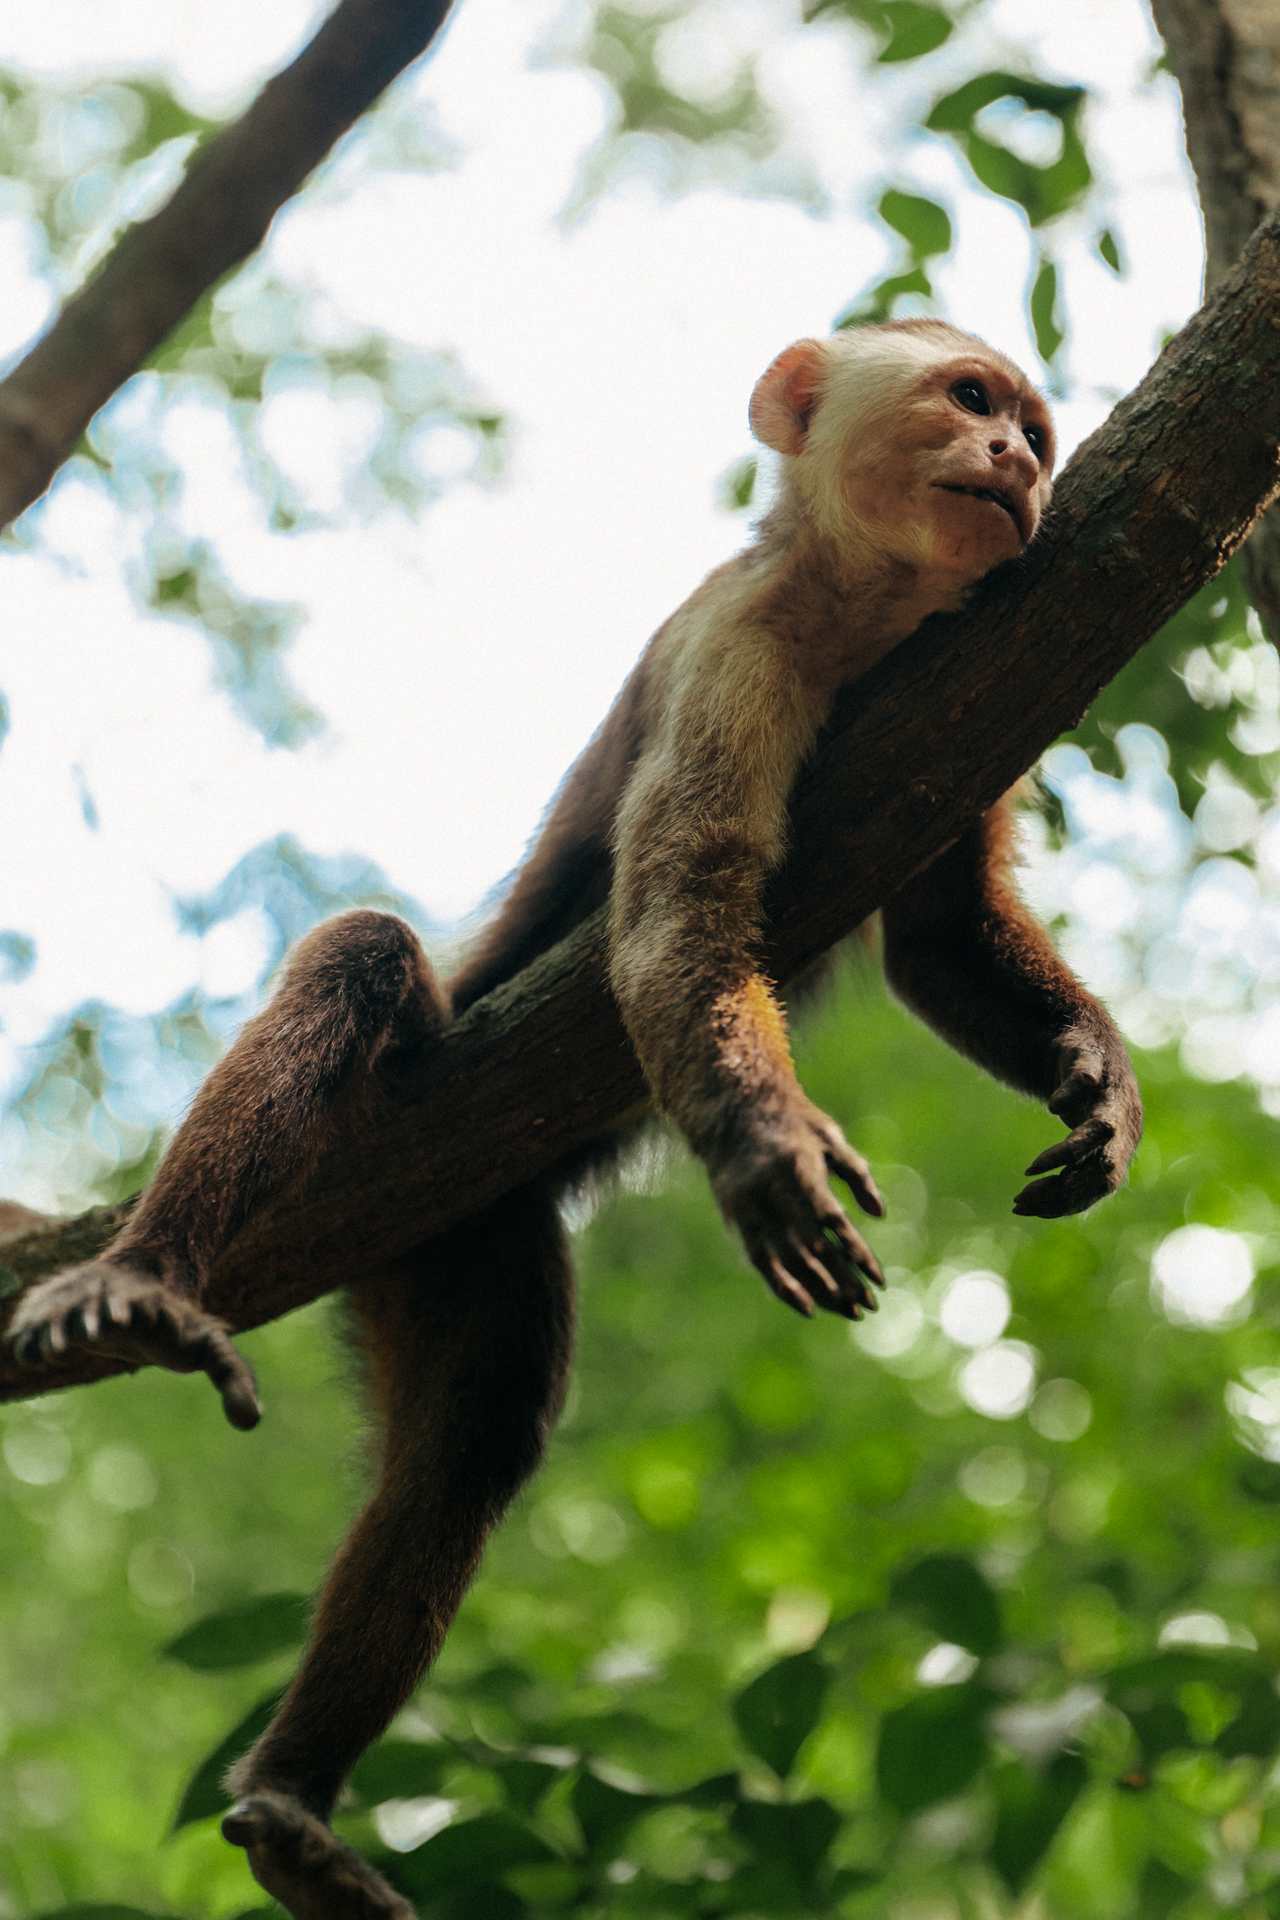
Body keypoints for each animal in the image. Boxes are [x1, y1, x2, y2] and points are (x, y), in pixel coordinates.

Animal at [7, 319, 1141, 1920]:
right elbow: (676, 911)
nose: (1015, 463)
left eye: (1036, 434)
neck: (865, 613)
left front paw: (1094, 1080)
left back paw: (289, 1804)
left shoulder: (976, 662)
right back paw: (145, 1277)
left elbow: (938, 933)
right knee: (364, 961)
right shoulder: (735, 643)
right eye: (972, 400)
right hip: (382, 1147)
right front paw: (763, 1145)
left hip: (454, 1244)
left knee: (472, 1437)